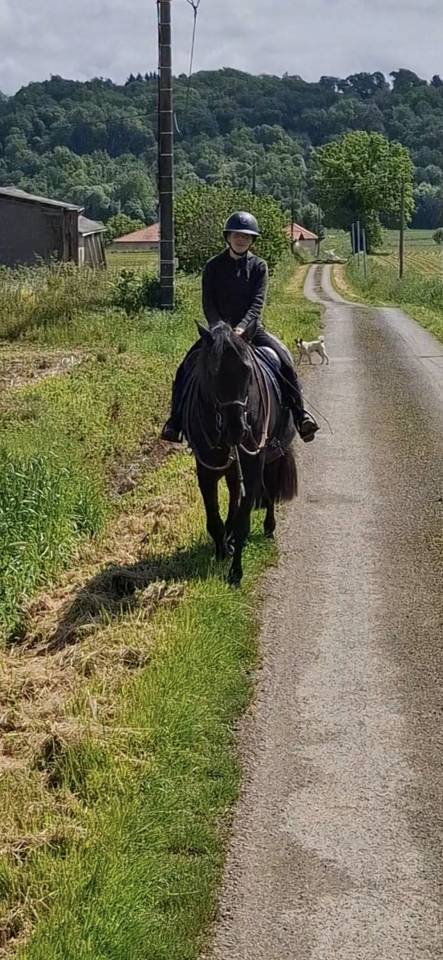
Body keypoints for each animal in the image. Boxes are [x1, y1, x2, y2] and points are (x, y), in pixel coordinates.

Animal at [181, 321, 298, 586]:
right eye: (213, 373)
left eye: (247, 370)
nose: (236, 429)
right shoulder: (206, 470)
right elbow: (213, 518)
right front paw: (221, 552)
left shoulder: (254, 465)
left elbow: (244, 521)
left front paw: (235, 573)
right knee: (235, 492)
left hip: (273, 457)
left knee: (270, 492)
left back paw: (268, 527)